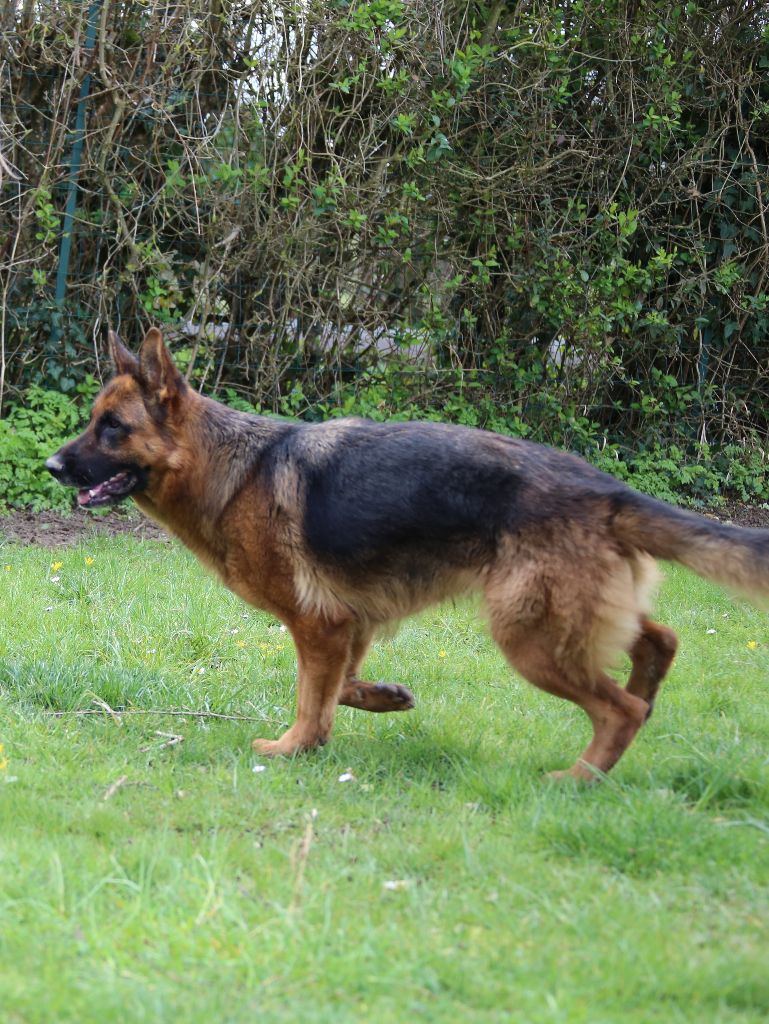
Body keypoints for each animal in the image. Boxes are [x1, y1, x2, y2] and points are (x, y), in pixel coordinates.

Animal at [46, 331, 769, 778]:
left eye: (113, 428)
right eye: (92, 421)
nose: (51, 467)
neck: (234, 470)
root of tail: (604, 489)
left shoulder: (317, 624)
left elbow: (311, 697)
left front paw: (292, 747)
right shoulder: (349, 622)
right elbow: (338, 687)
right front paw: (381, 699)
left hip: (530, 635)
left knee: (619, 708)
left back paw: (582, 775)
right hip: (574, 617)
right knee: (659, 643)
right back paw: (635, 715)